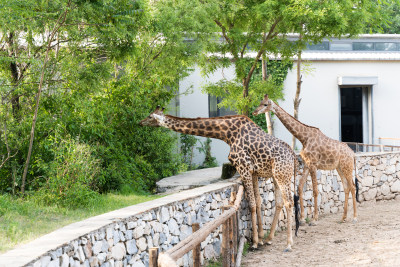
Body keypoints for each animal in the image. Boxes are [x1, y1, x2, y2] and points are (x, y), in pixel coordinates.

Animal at [139, 106, 298, 251]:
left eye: (150, 116)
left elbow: (252, 204)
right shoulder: (253, 171)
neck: (227, 134)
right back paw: (270, 239)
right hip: (277, 176)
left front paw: (254, 243)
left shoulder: (243, 168)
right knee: (279, 202)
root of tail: (293, 155)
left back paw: (289, 244)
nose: (140, 122)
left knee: (289, 202)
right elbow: (258, 202)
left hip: (282, 175)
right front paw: (260, 238)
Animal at [255, 95, 360, 225]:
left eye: (265, 104)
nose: (254, 112)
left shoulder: (313, 164)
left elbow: (315, 191)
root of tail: (353, 154)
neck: (303, 138)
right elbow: (300, 187)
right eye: (260, 102)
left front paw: (314, 219)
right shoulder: (306, 164)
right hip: (340, 167)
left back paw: (354, 217)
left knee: (353, 187)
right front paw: (302, 218)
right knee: (346, 187)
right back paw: (343, 218)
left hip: (347, 167)